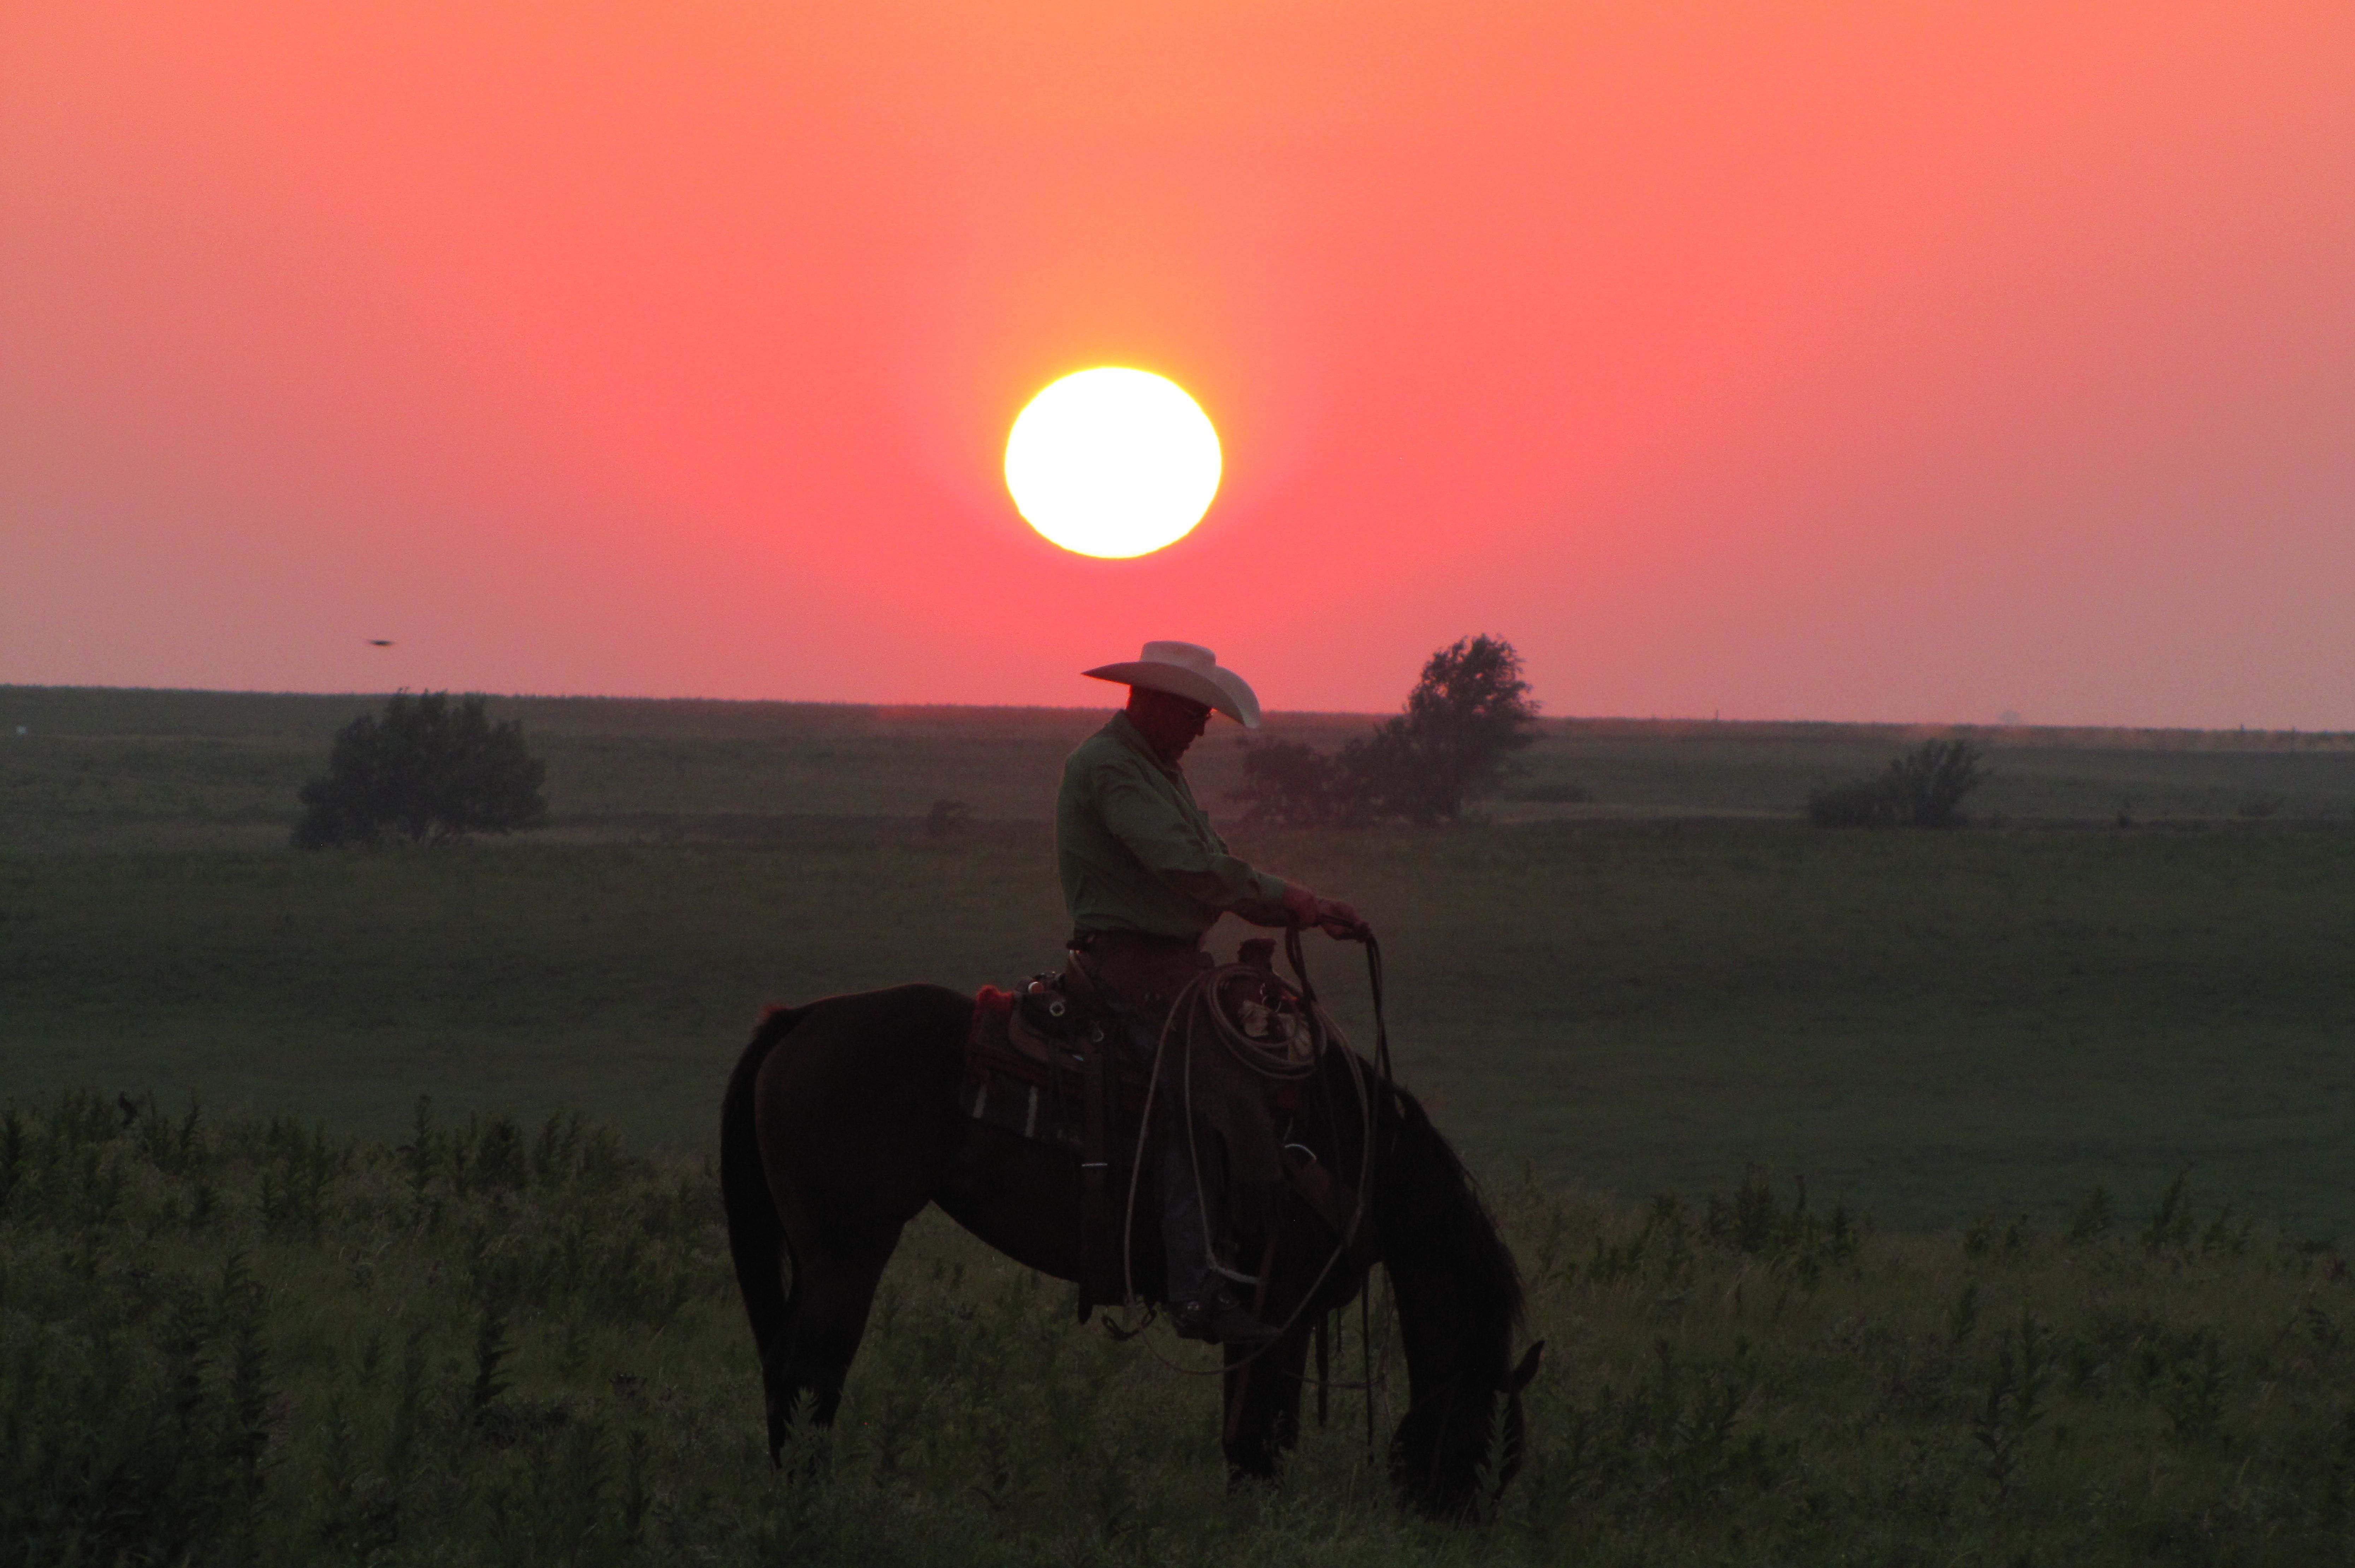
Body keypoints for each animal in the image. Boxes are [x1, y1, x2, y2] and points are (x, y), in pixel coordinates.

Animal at [716, 984, 1545, 1507]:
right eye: (1483, 1441)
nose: (1453, 1519)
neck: (1356, 1152)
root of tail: (800, 1020)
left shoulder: (1284, 1319)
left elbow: (1258, 1432)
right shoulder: (1272, 1311)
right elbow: (1258, 1437)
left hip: (816, 1259)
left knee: (784, 1369)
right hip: (848, 1256)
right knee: (810, 1374)